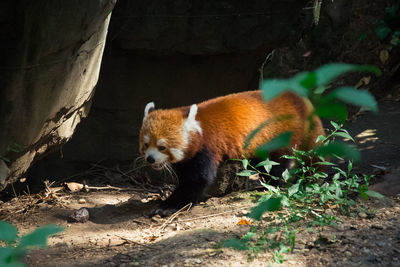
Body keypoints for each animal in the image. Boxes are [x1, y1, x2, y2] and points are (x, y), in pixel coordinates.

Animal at [139, 91, 324, 217]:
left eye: (162, 147)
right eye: (146, 144)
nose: (150, 159)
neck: (199, 129)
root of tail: (295, 98)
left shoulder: (206, 148)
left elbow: (196, 181)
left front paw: (168, 206)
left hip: (281, 136)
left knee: (276, 165)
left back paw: (272, 184)